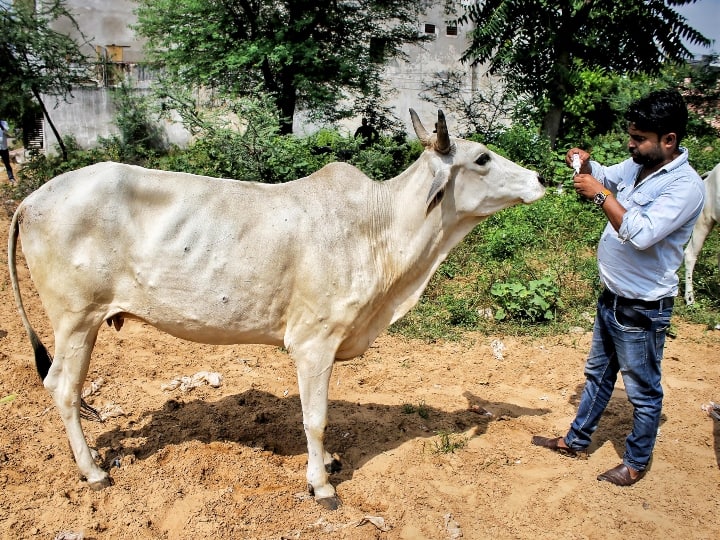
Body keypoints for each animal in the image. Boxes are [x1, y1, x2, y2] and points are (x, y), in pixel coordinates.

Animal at [9, 108, 544, 506]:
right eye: (482, 157)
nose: (539, 177)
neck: (380, 228)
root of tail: (31, 199)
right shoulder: (313, 342)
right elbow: (316, 418)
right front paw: (321, 484)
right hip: (76, 319)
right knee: (62, 387)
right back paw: (93, 472)